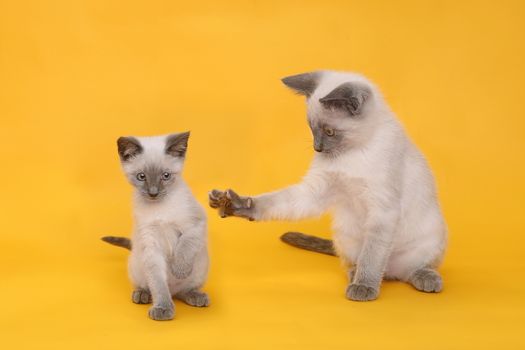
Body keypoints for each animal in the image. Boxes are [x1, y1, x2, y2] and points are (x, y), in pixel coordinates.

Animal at [102, 133, 209, 322]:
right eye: (141, 177)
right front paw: (163, 309)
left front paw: (179, 269)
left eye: (165, 176)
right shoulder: (150, 244)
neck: (159, 207)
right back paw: (142, 295)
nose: (153, 193)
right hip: (136, 265)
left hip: (201, 266)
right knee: (152, 287)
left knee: (185, 290)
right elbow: (158, 285)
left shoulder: (195, 224)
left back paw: (196, 296)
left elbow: (185, 246)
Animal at [209, 70, 446, 300]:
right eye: (311, 129)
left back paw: (425, 279)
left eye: (330, 131)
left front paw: (363, 287)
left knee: (406, 268)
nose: (318, 148)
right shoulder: (316, 191)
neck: (354, 152)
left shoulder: (382, 210)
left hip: (430, 238)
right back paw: (356, 274)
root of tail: (392, 271)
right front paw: (237, 204)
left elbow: (372, 256)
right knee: (364, 264)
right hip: (345, 237)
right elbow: (275, 202)